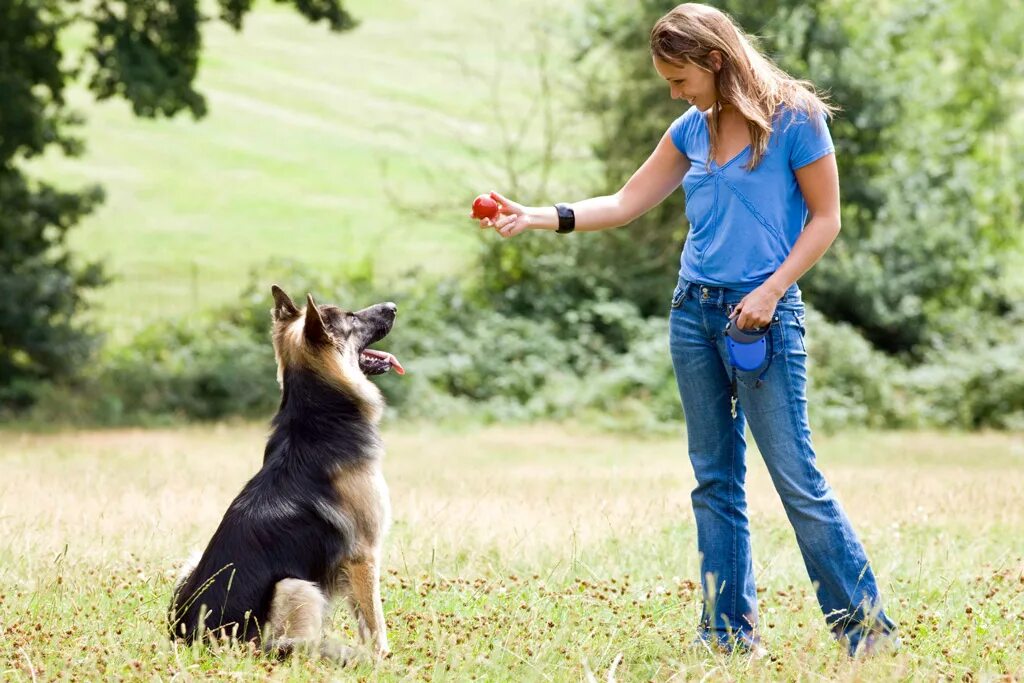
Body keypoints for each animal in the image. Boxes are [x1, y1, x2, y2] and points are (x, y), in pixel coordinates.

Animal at [168, 284, 403, 663]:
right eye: (351, 317)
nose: (393, 306)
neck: (317, 418)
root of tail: (195, 639)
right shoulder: (363, 556)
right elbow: (375, 620)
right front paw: (382, 659)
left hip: (190, 565)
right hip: (296, 587)